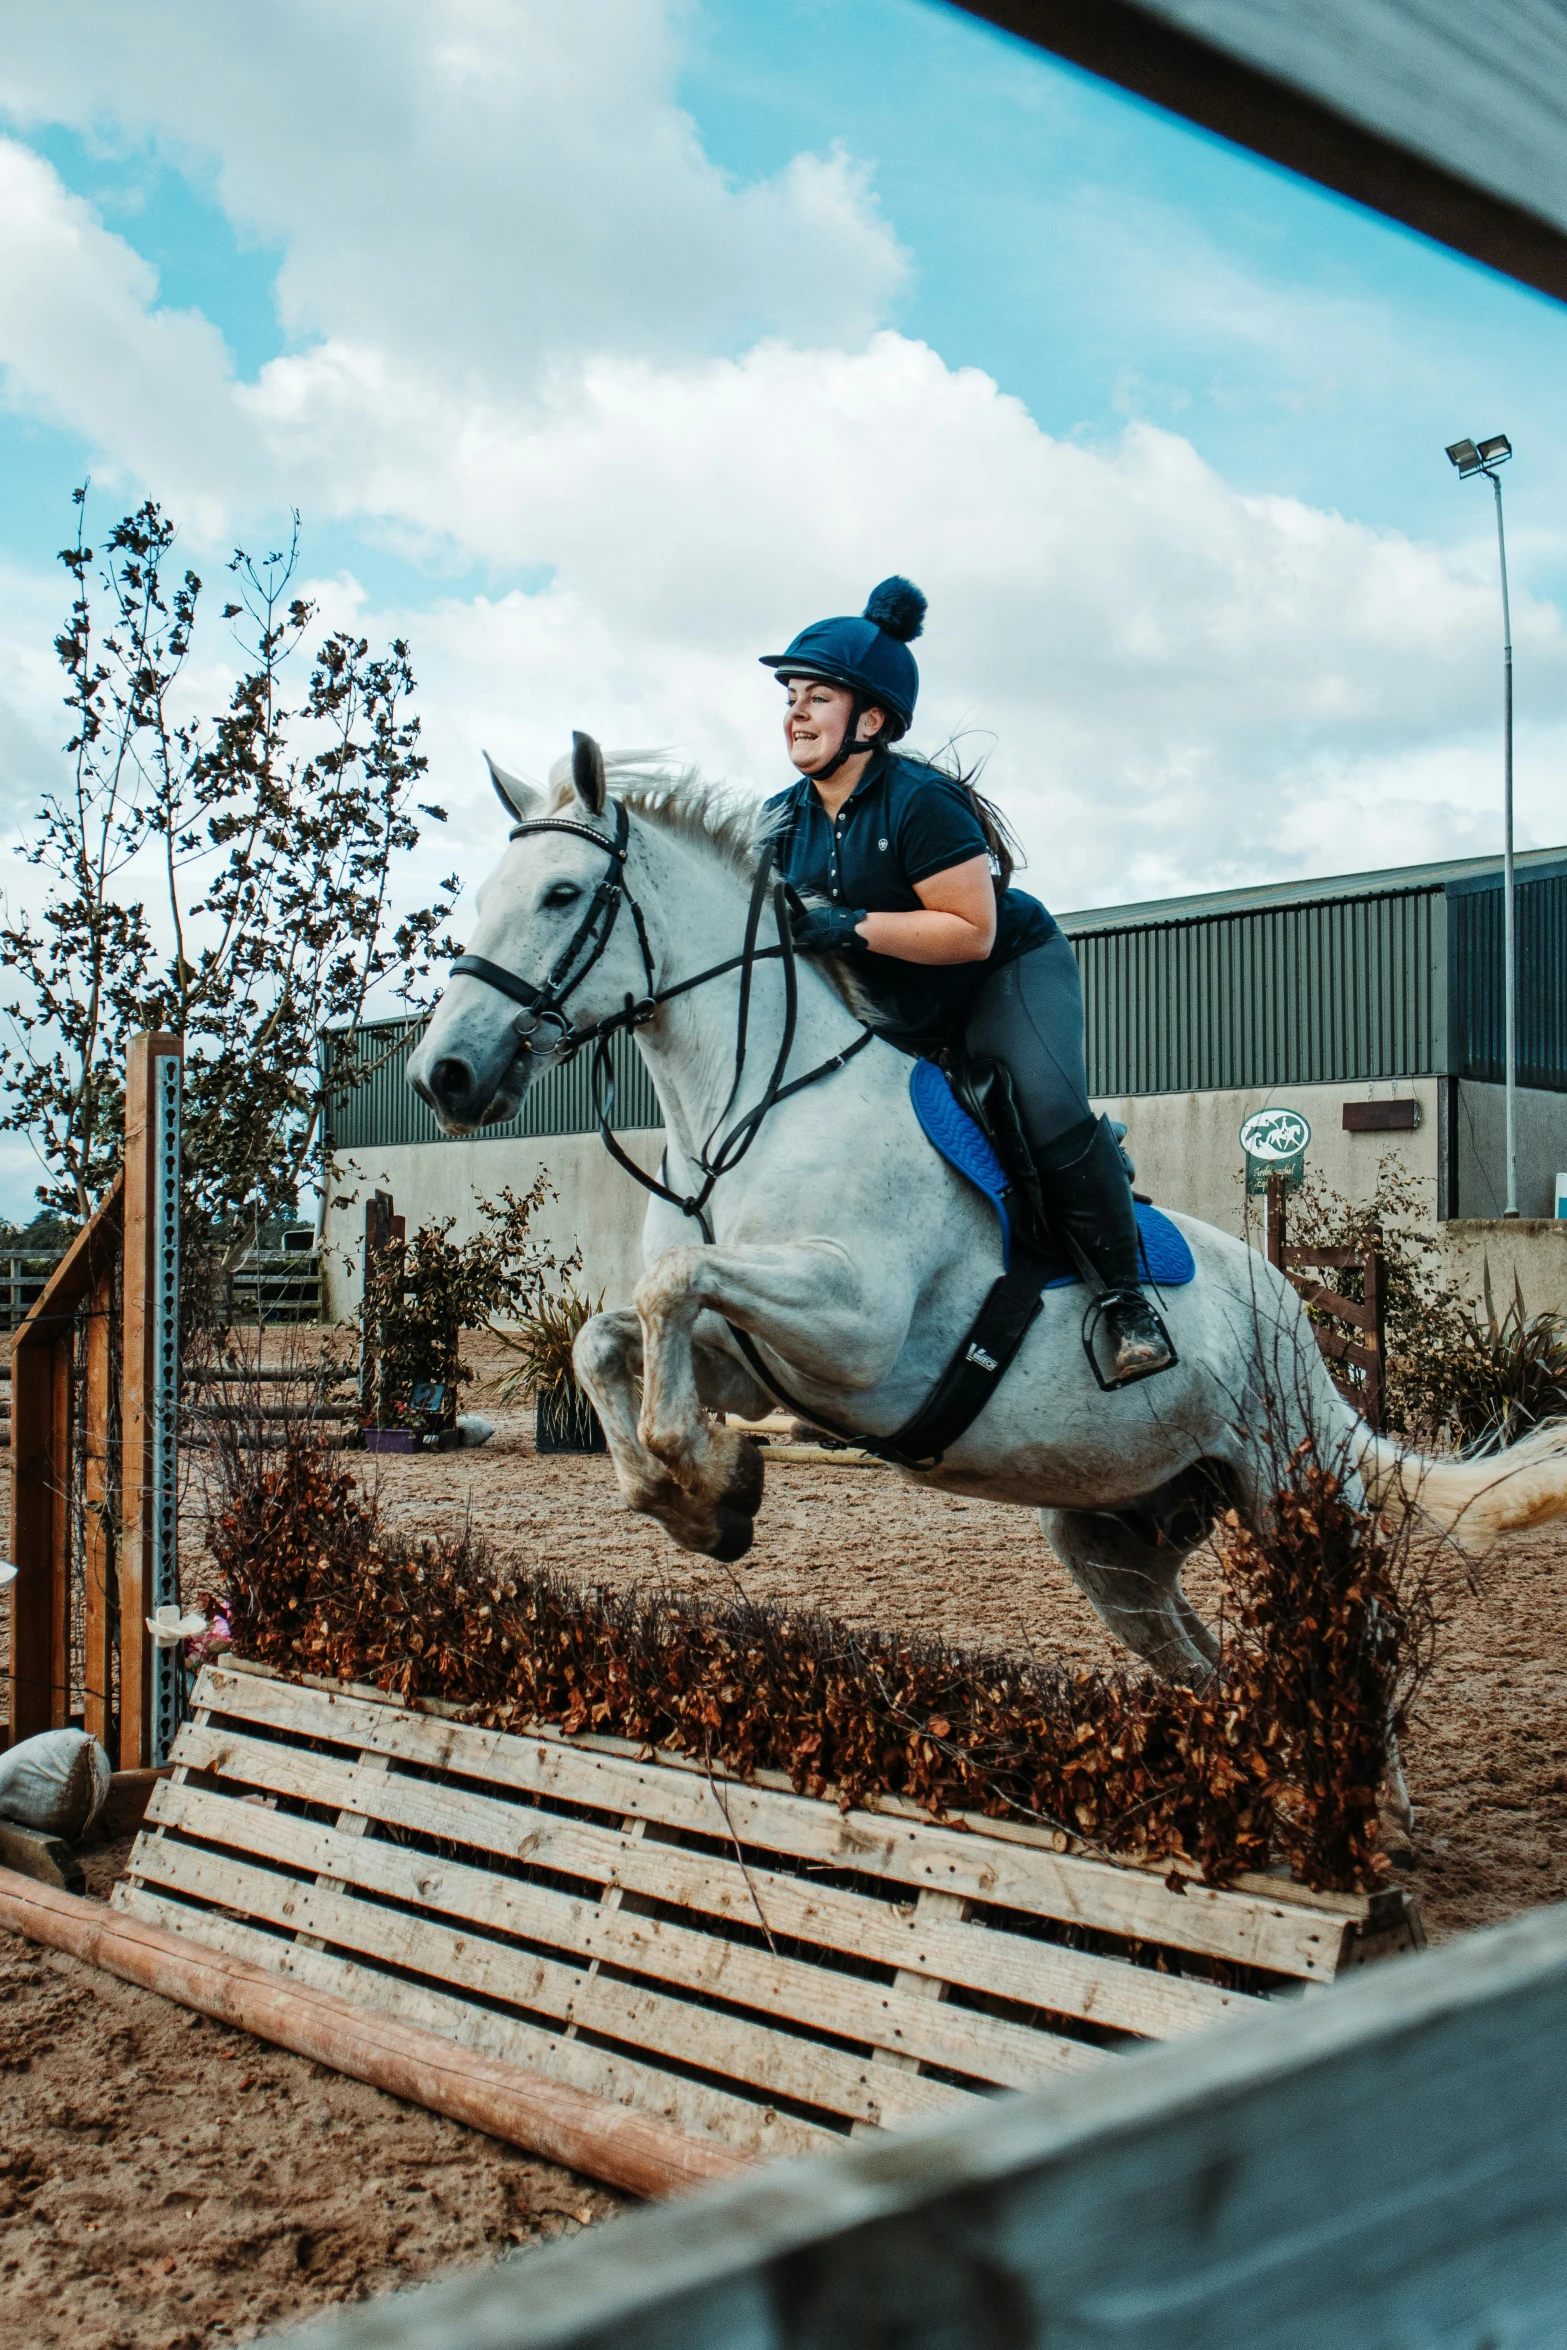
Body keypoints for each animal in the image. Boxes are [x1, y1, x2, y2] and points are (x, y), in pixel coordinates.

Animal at [411, 742, 1567, 1682]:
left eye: (562, 893)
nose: (444, 1076)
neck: (742, 1114)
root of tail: (1296, 1319)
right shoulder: (754, 1355)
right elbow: (606, 1339)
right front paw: (705, 1500)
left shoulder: (859, 1330)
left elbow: (667, 1285)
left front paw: (707, 1478)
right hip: (1117, 1541)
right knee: (1207, 1667)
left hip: (1293, 1492)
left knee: (1354, 1649)